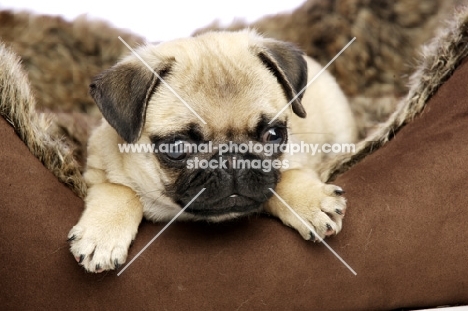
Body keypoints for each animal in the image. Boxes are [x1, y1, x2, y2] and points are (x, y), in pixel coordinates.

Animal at [67, 29, 356, 272]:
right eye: (177, 147)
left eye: (273, 135)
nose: (232, 160)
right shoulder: (96, 169)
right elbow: (120, 190)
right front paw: (102, 235)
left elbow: (286, 178)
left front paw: (310, 203)